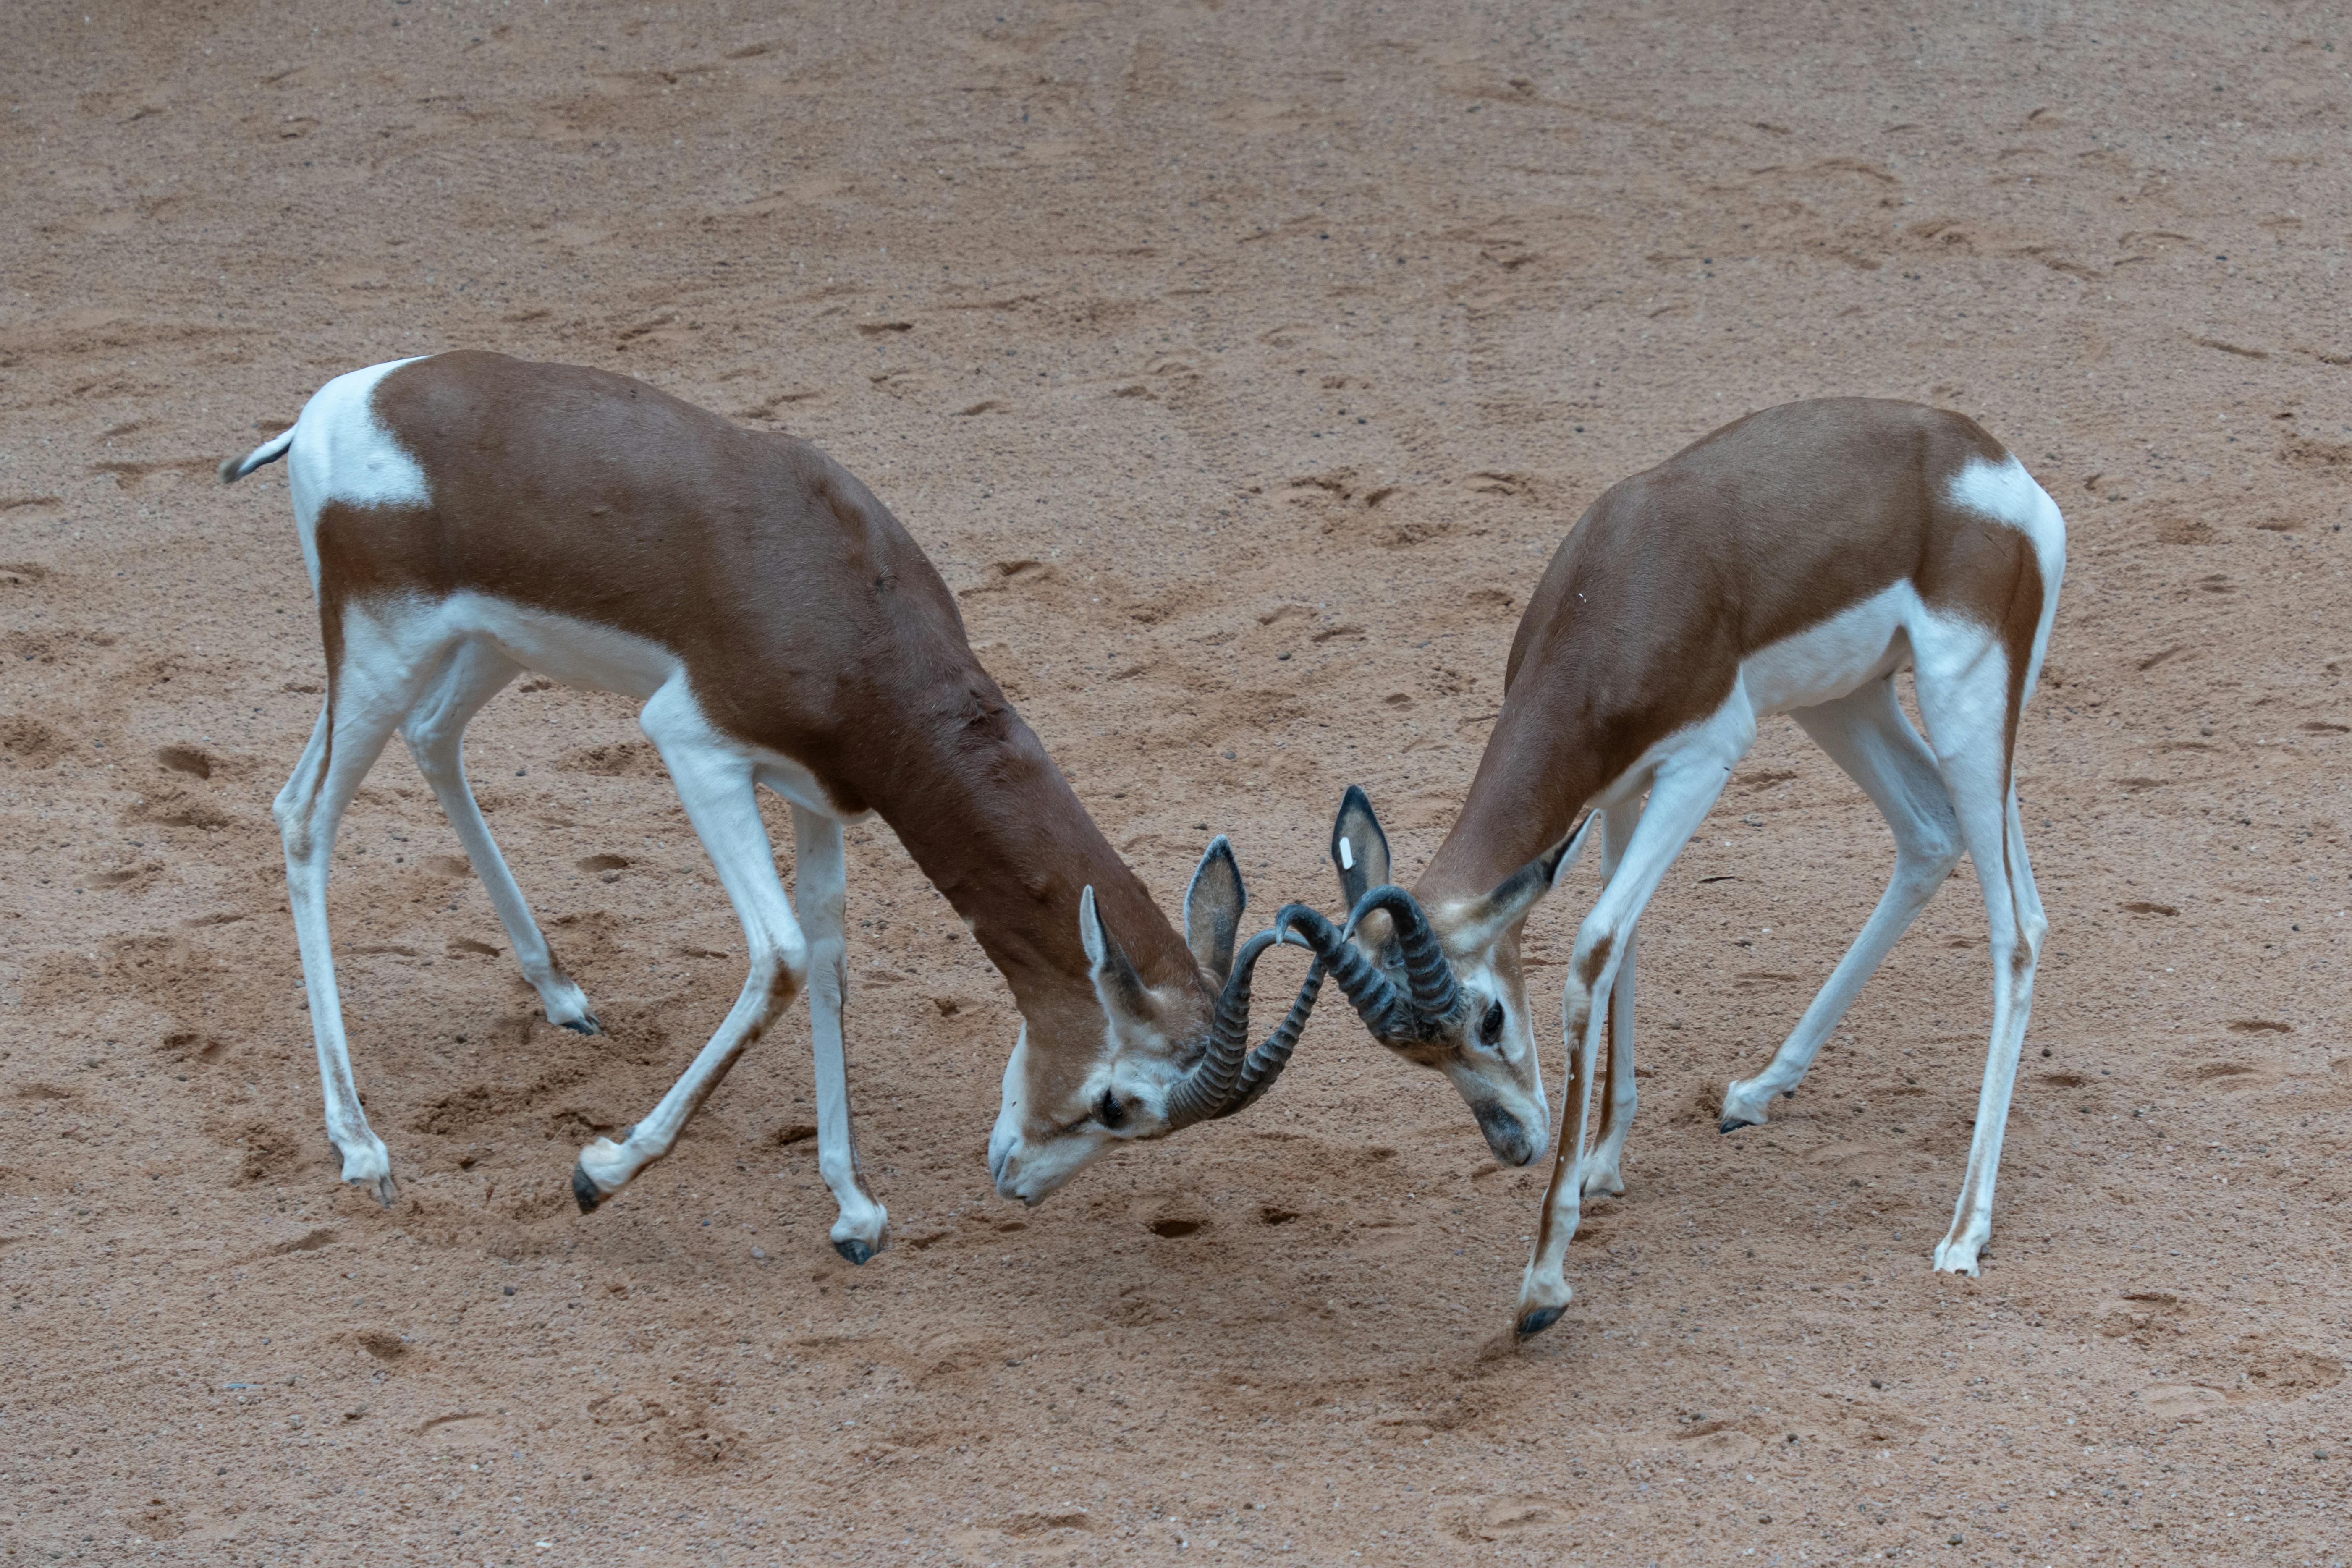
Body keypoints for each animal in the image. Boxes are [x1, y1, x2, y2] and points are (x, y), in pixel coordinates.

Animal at [220, 350, 1308, 1262]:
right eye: (1118, 1104)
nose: (1017, 1182)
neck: (847, 600)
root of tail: (335, 404)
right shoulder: (695, 746)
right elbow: (781, 955)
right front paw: (600, 1170)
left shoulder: (818, 790)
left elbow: (827, 954)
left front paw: (854, 1208)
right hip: (380, 650)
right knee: (304, 813)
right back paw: (362, 1147)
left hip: (482, 647)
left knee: (431, 739)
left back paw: (561, 993)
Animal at [1274, 398, 2064, 1336]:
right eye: (1415, 1059)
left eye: (1491, 1017)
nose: (1515, 1145)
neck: (1622, 585)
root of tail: (1991, 464)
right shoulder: (1618, 789)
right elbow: (1625, 941)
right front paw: (1602, 1164)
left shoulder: (1700, 763)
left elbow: (1592, 947)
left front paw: (1543, 1282)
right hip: (1849, 699)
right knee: (1934, 834)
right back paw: (1755, 1092)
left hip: (1963, 699)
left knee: (2016, 928)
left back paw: (1963, 1231)